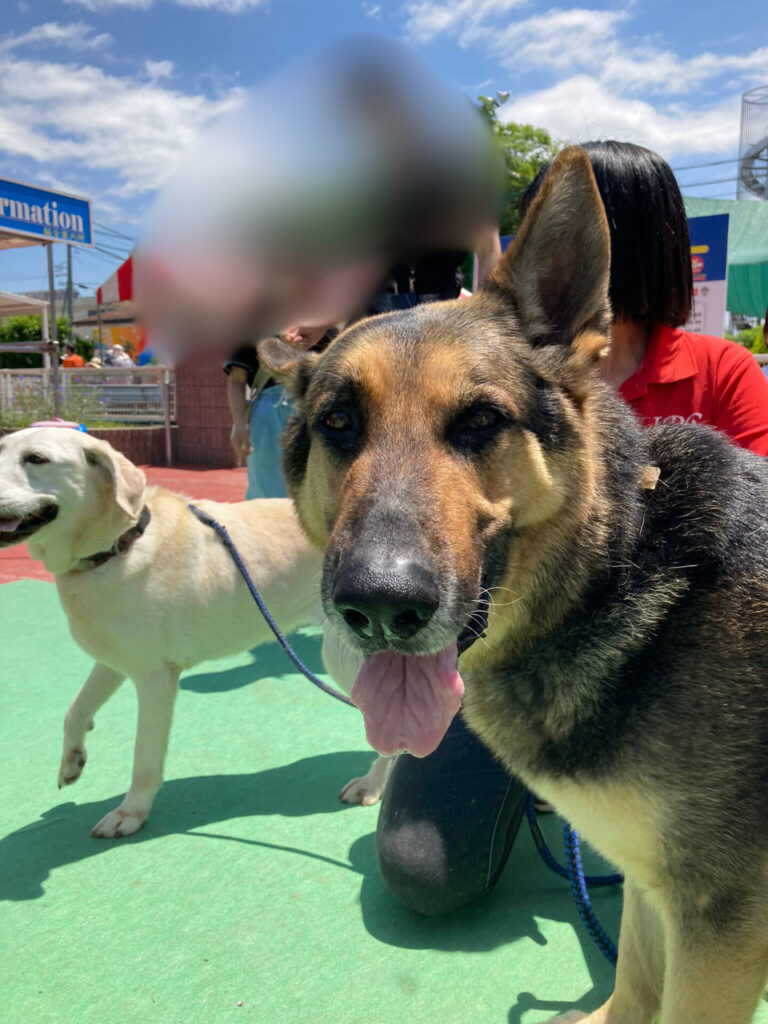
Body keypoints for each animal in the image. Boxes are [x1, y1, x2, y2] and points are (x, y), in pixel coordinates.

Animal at [0, 428, 391, 835]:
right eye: (1, 449)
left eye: (36, 459)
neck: (120, 544)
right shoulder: (115, 662)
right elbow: (75, 711)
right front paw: (72, 761)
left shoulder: (155, 679)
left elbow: (144, 759)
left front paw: (130, 813)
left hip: (345, 659)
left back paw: (372, 784)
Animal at [260, 148, 768, 1019]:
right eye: (338, 423)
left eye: (481, 422)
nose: (379, 608)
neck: (621, 568)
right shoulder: (656, 887)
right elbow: (635, 979)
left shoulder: (718, 932)